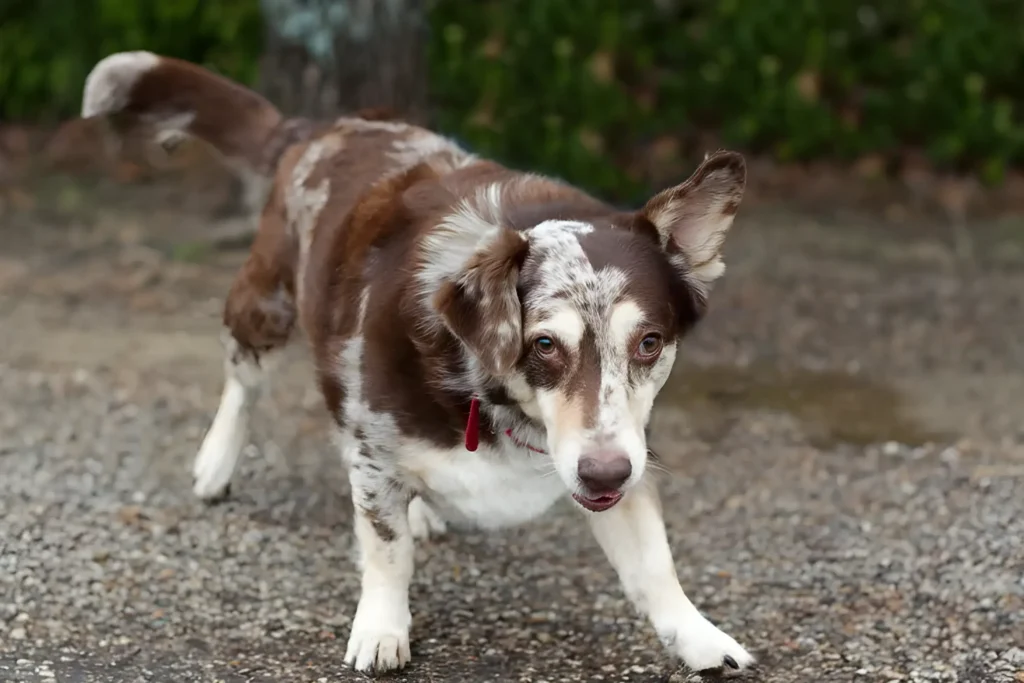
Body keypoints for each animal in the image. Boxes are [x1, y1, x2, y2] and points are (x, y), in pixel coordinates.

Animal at [83, 50, 757, 675]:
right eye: (543, 344)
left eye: (649, 342)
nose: (602, 475)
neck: (494, 397)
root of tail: (321, 127)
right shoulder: (375, 449)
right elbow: (387, 551)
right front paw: (382, 630)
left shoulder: (629, 451)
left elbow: (654, 564)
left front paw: (701, 638)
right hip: (265, 307)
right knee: (243, 383)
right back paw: (217, 462)